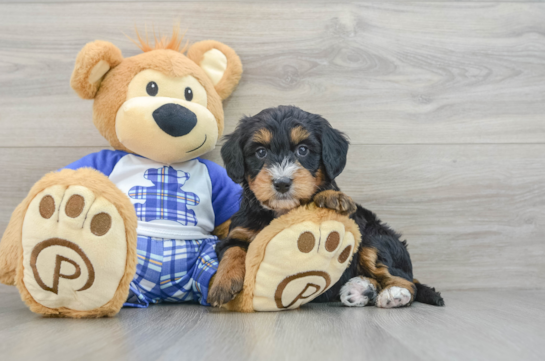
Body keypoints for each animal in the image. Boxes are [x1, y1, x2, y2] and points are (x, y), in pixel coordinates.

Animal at [207, 105, 442, 308]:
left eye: (302, 150)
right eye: (260, 152)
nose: (282, 183)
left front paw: (331, 197)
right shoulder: (237, 233)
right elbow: (232, 251)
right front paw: (222, 284)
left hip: (376, 238)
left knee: (405, 280)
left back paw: (393, 295)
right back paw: (359, 290)